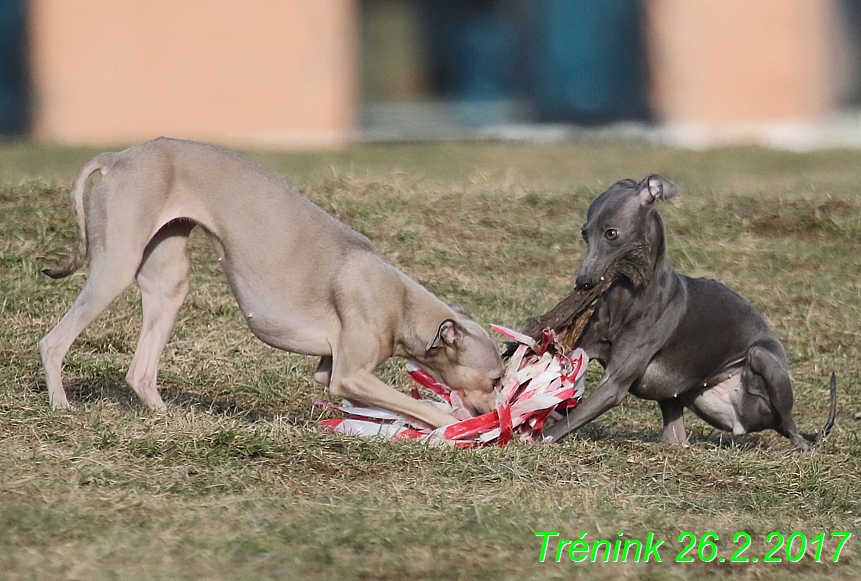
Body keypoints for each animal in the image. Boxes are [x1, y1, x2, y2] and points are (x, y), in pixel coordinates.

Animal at [42, 137, 504, 426]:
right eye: (497, 379)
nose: (492, 414)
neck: (404, 302)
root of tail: (118, 157)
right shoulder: (350, 375)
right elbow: (423, 409)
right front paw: (460, 430)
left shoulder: (331, 370)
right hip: (116, 266)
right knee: (53, 341)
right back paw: (61, 405)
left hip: (168, 279)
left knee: (140, 370)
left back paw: (166, 415)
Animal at [544, 174, 832, 450]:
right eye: (585, 234)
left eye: (611, 234)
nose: (583, 282)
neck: (629, 298)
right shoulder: (585, 346)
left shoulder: (614, 384)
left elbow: (567, 421)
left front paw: (538, 437)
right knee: (676, 436)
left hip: (763, 358)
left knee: (793, 428)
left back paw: (800, 445)